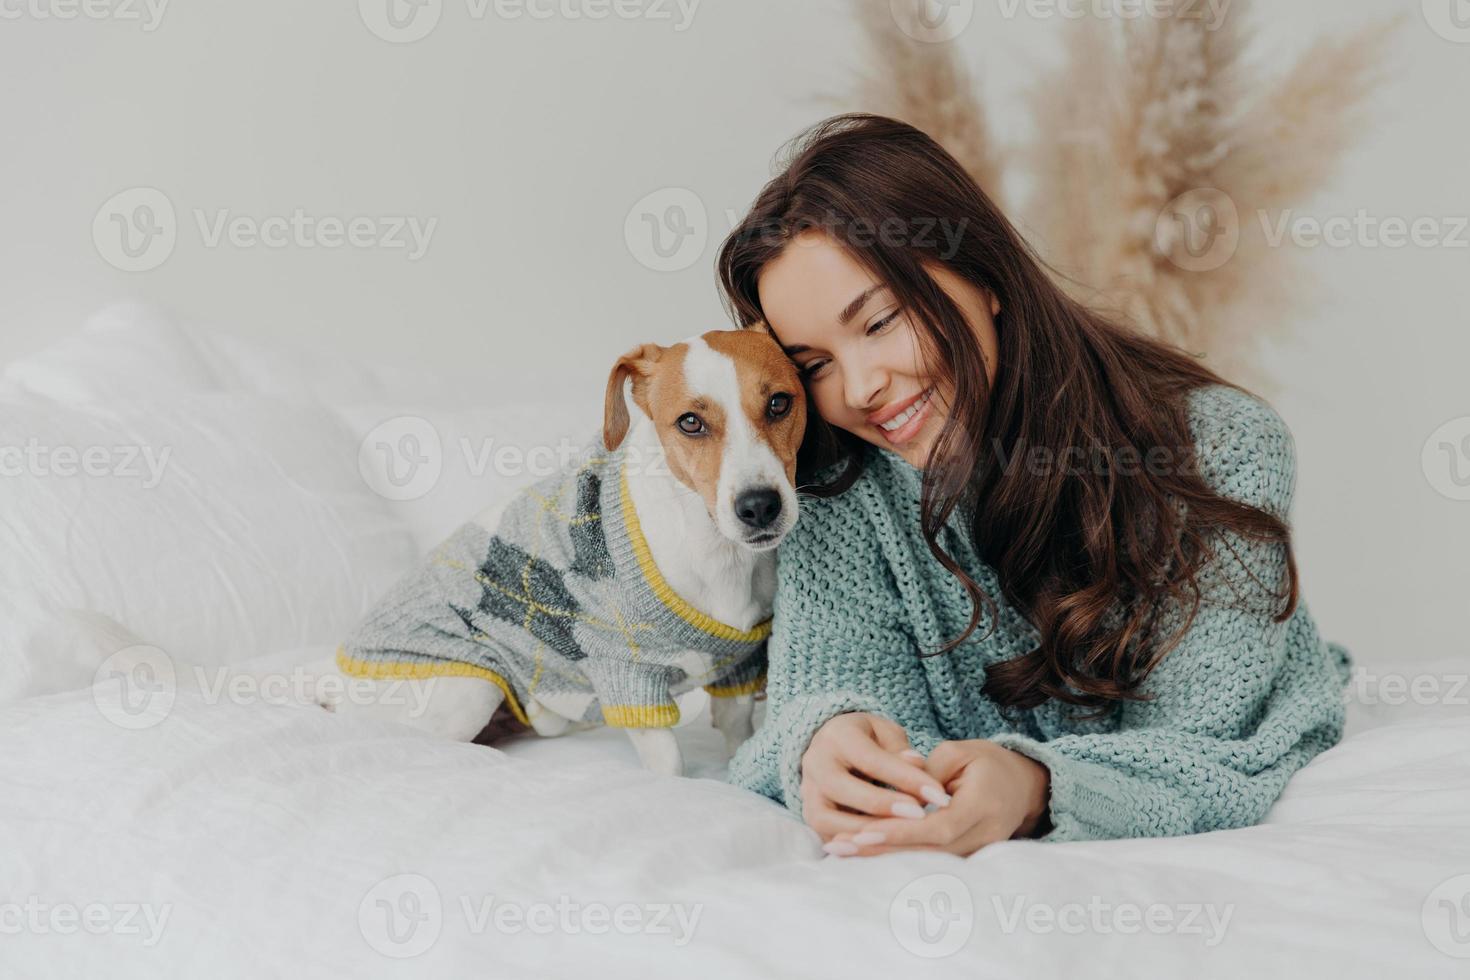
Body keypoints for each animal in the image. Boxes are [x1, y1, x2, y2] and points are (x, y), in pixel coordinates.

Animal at [316, 327, 811, 775]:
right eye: (691, 422)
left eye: (779, 403)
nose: (759, 506)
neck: (716, 553)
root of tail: (336, 685)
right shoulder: (625, 676)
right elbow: (667, 766)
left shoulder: (737, 670)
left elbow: (738, 737)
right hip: (470, 689)